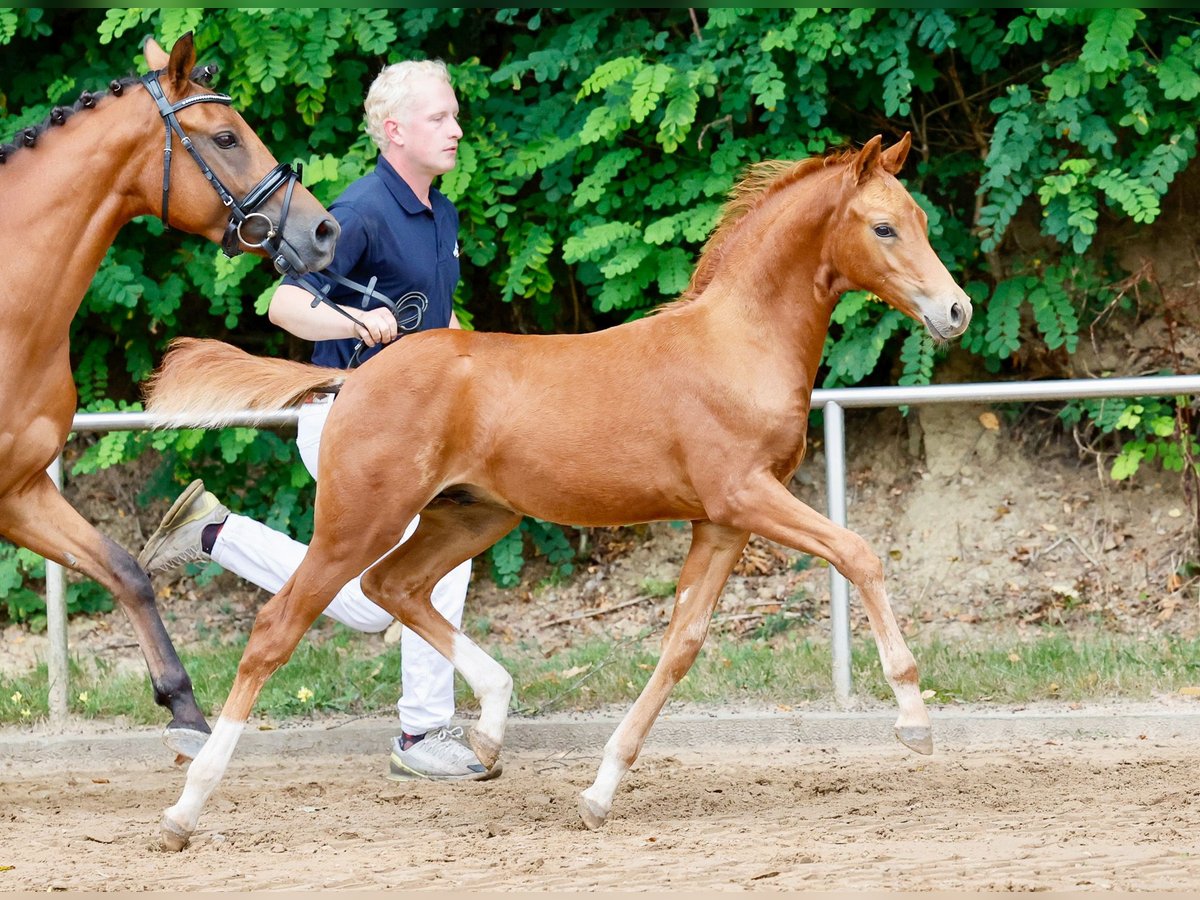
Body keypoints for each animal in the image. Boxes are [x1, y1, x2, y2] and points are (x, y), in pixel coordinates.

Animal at [147, 133, 974, 854]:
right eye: (883, 227)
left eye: (921, 221)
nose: (956, 310)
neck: (738, 343)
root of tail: (355, 379)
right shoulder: (745, 495)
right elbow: (858, 552)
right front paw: (913, 719)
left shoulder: (722, 522)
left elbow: (683, 643)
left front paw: (599, 792)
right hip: (362, 519)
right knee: (279, 627)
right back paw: (185, 806)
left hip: (472, 518)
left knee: (394, 588)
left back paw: (488, 726)